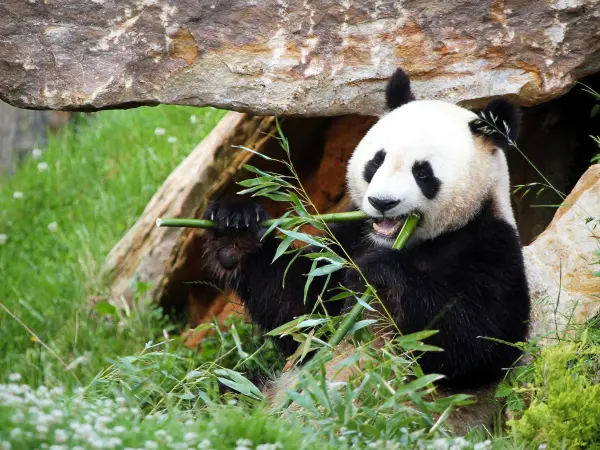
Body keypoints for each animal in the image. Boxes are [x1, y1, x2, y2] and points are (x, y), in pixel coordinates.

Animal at [202, 68, 528, 434]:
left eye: (422, 172)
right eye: (376, 161)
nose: (382, 202)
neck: (416, 242)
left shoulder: (490, 245)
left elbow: (475, 343)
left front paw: (380, 271)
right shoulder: (350, 239)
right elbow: (300, 311)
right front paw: (235, 228)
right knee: (228, 387)